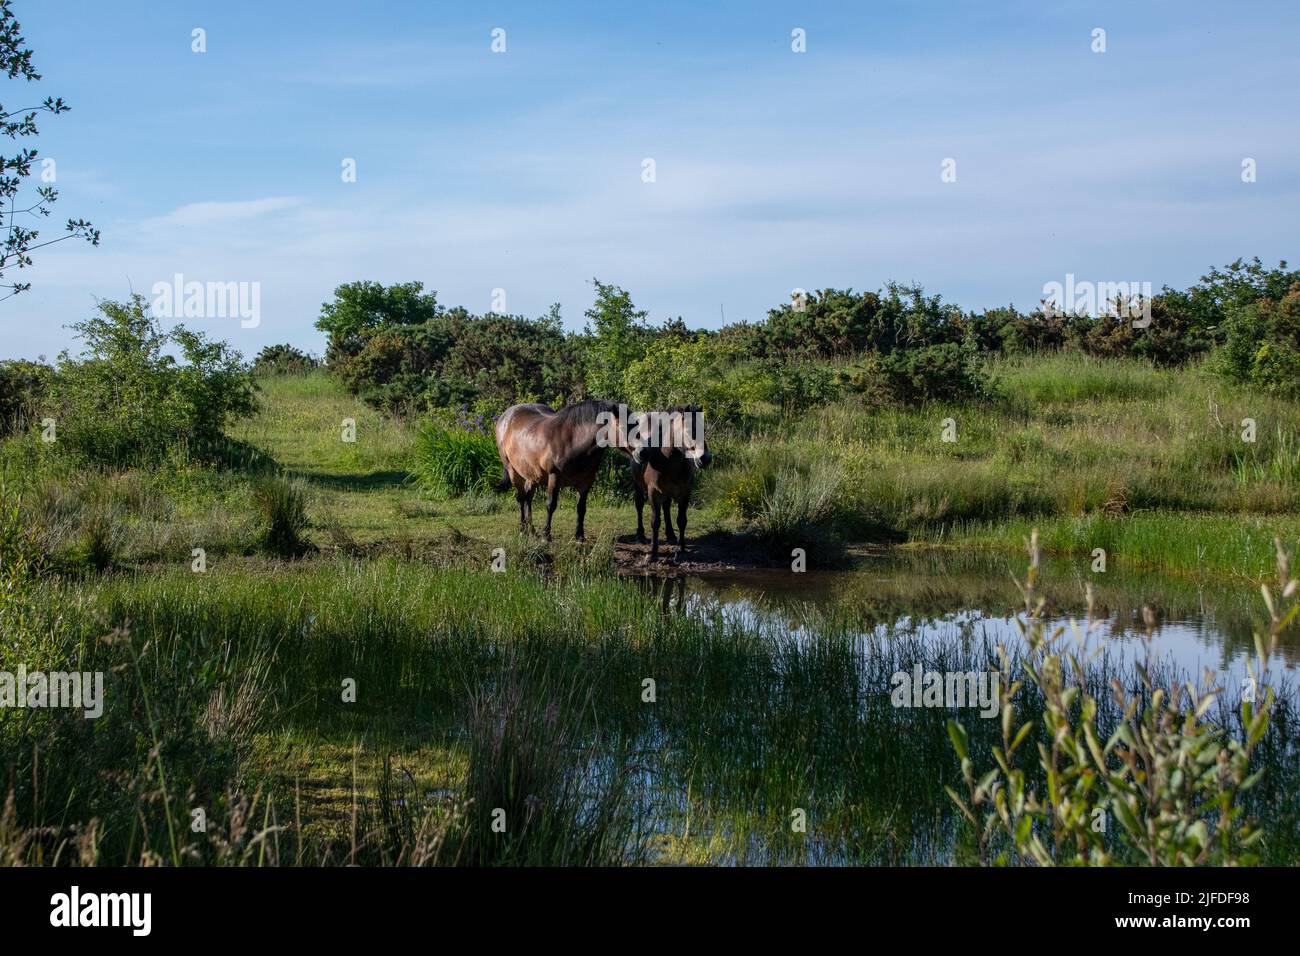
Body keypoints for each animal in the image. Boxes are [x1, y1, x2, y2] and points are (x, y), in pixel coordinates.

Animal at [629, 403, 712, 561]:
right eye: (688, 430)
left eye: (703, 430)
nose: (705, 458)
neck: (669, 460)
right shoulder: (653, 492)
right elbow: (655, 522)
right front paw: (653, 553)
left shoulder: (686, 492)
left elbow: (682, 520)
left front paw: (682, 548)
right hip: (638, 485)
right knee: (639, 505)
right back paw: (640, 535)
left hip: (667, 492)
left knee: (666, 508)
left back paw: (671, 535)